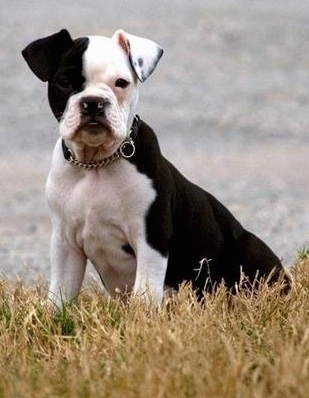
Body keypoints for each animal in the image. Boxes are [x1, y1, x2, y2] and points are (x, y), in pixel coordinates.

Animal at [22, 29, 292, 306]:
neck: (95, 164)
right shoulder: (65, 243)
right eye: (64, 82)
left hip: (251, 252)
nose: (93, 102)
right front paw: (53, 313)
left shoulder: (150, 237)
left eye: (121, 83)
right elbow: (61, 292)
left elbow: (146, 291)